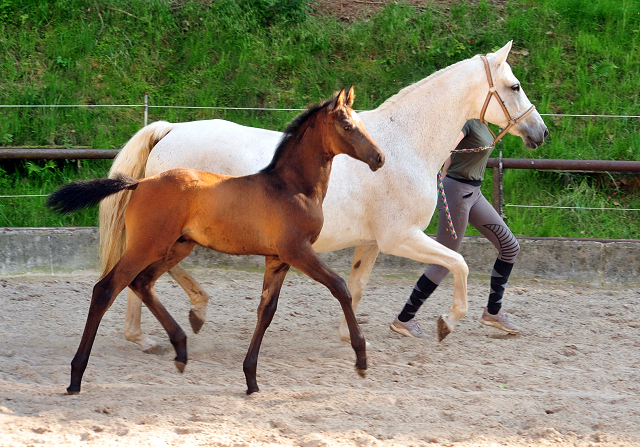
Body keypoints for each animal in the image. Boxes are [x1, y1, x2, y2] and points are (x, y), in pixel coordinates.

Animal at [47, 88, 384, 396]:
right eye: (347, 126)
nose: (379, 158)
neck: (291, 187)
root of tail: (140, 183)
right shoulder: (298, 251)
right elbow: (340, 287)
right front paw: (361, 358)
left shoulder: (277, 259)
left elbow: (266, 310)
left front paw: (251, 378)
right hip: (149, 245)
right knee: (106, 289)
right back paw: (76, 376)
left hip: (177, 245)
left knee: (142, 282)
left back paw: (181, 348)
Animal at [101, 42, 552, 352]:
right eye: (514, 85)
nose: (540, 132)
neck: (404, 144)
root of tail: (170, 130)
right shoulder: (400, 238)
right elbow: (458, 264)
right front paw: (447, 322)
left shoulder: (371, 244)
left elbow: (357, 285)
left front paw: (348, 336)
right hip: (172, 232)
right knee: (142, 268)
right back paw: (176, 319)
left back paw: (153, 330)